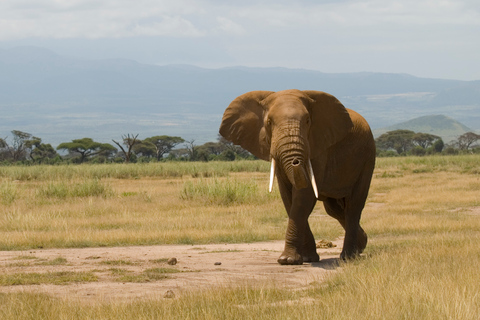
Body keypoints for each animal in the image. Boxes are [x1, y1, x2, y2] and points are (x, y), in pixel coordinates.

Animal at [219, 89, 376, 264]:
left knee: (353, 206)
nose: (295, 162)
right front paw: (306, 258)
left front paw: (287, 260)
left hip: (367, 158)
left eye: (307, 121)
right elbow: (288, 197)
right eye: (269, 122)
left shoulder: (319, 147)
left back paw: (348, 257)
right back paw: (361, 245)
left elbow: (303, 196)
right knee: (334, 209)